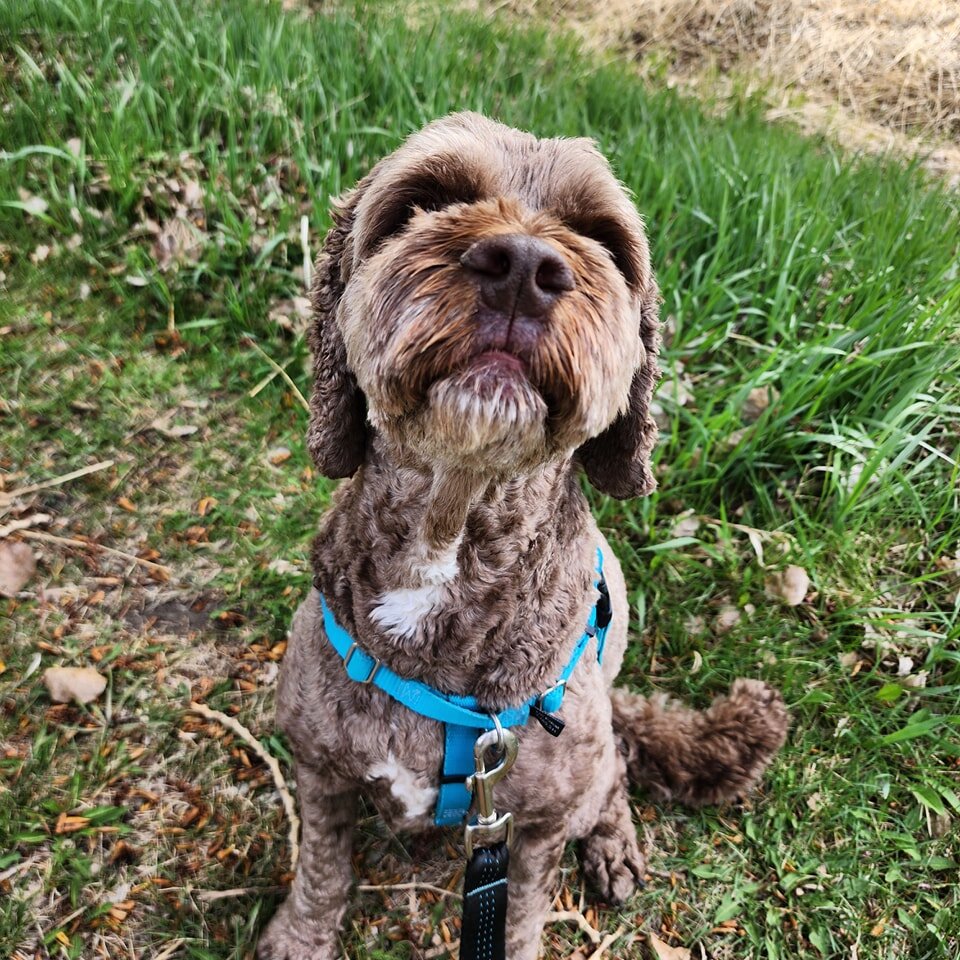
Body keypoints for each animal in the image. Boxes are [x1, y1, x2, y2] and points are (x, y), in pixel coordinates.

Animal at [256, 114, 788, 960]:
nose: (525, 267)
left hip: (590, 752)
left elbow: (524, 910)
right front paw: (299, 938)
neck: (449, 542)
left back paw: (614, 844)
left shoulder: (531, 828)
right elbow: (323, 869)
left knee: (618, 771)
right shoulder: (320, 767)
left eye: (604, 237)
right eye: (423, 201)